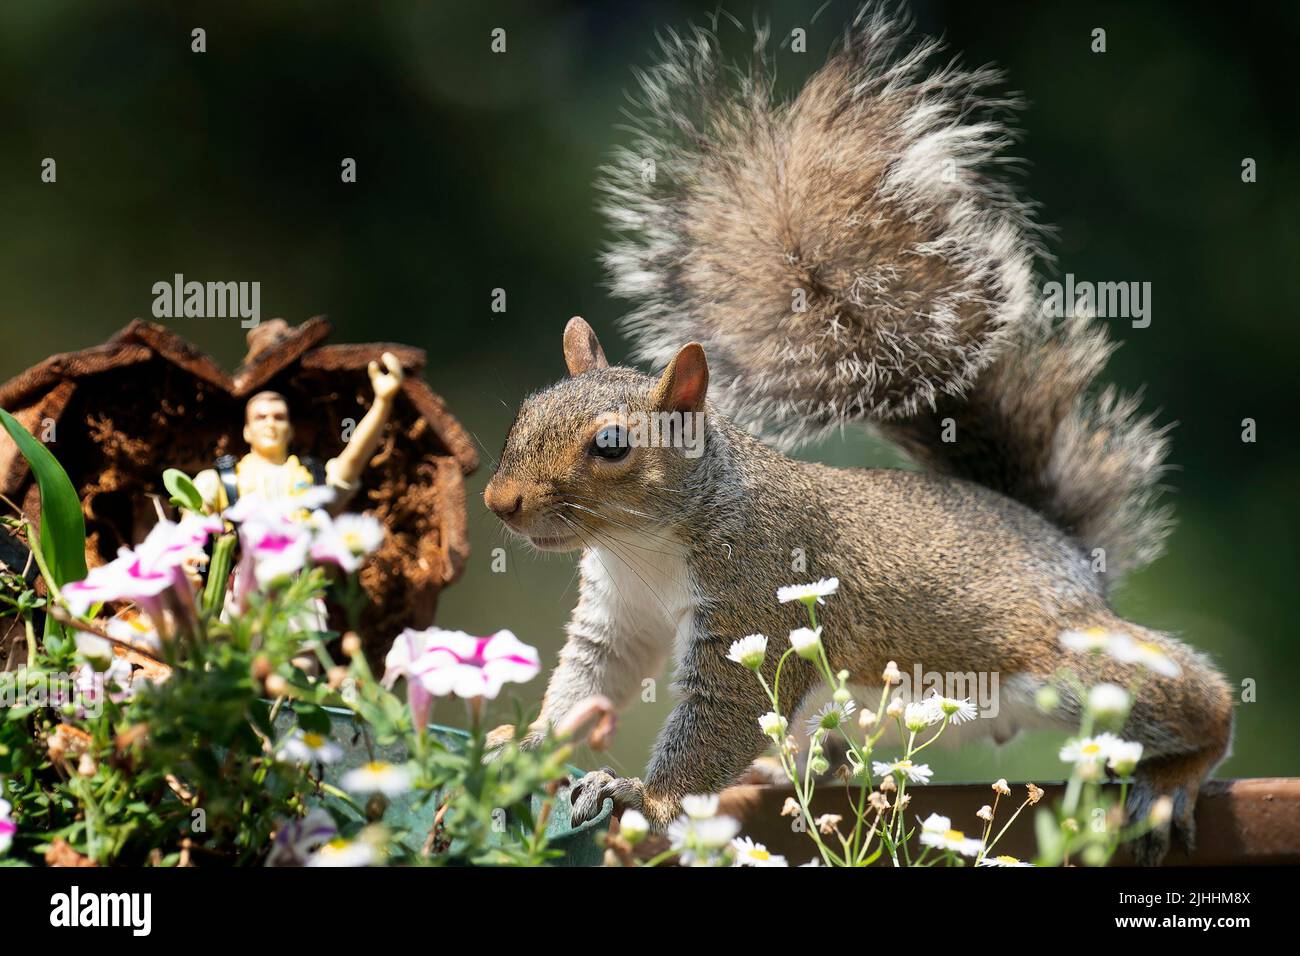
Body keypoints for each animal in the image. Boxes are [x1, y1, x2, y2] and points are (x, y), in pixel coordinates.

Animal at [483, 5, 1232, 868]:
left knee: (1197, 700)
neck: (642, 546)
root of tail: (1068, 551)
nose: (499, 502)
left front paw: (642, 795)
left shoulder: (758, 602)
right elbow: (585, 686)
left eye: (611, 446)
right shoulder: (616, 616)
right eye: (525, 411)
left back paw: (1177, 774)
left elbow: (719, 719)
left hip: (1074, 664)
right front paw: (524, 749)